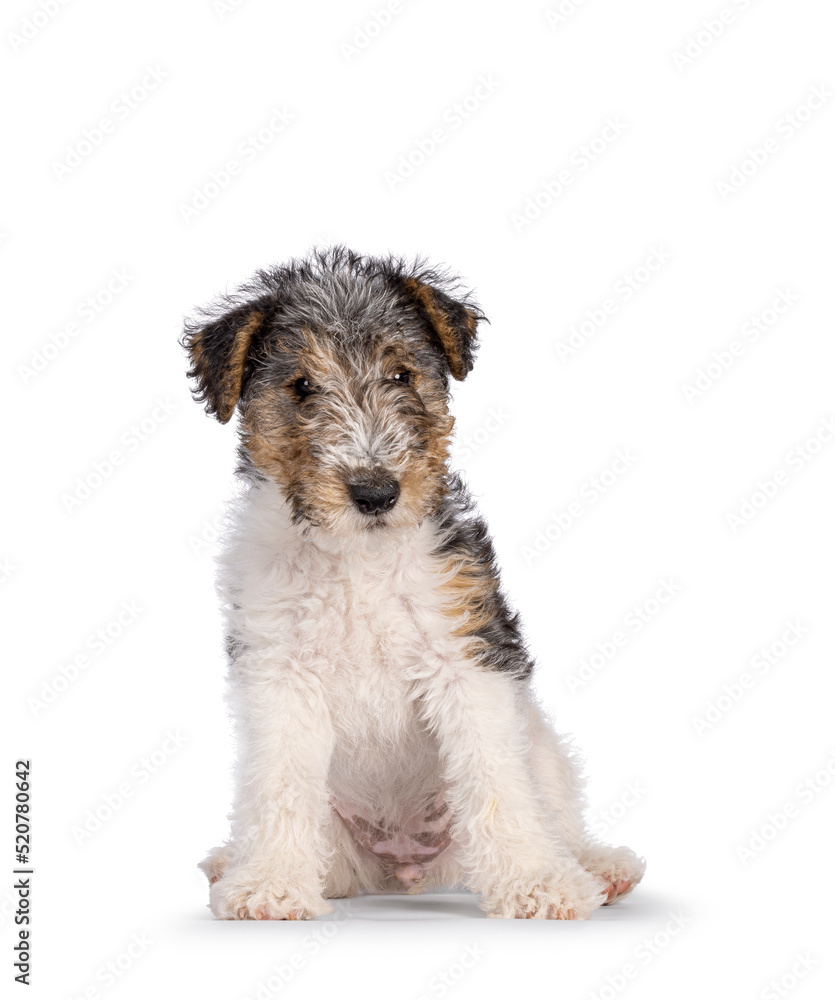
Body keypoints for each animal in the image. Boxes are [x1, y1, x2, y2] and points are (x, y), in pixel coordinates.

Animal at [183, 246, 648, 916]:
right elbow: (282, 783)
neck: (359, 558)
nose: (376, 492)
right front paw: (270, 884)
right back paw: (234, 864)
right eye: (301, 387)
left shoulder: (465, 657)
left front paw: (535, 882)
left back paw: (598, 868)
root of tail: (403, 870)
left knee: (553, 810)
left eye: (402, 375)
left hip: (541, 749)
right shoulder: (280, 672)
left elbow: (495, 779)